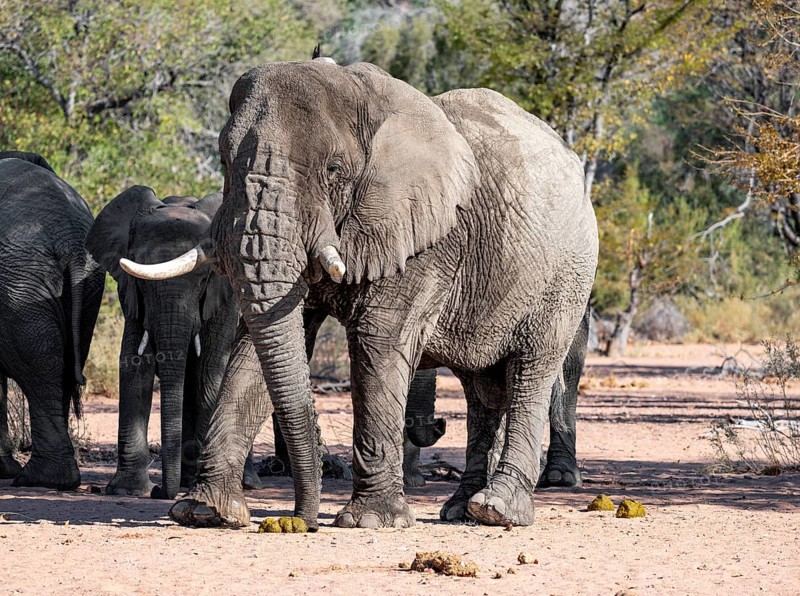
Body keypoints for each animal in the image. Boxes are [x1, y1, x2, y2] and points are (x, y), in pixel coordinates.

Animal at [0, 151, 104, 489]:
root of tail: (69, 238)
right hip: (85, 280)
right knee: (60, 366)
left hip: (21, 278)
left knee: (40, 363)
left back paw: (40, 479)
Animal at [86, 187, 261, 499]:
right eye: (142, 281)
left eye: (204, 279)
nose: (160, 491)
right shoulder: (131, 296)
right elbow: (135, 366)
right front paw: (128, 490)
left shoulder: (225, 294)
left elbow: (209, 369)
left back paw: (245, 482)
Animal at [122, 59, 598, 529]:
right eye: (223, 157)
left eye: (334, 170)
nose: (302, 520)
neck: (361, 90)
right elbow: (258, 345)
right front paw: (205, 511)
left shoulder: (425, 236)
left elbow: (379, 342)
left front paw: (371, 520)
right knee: (482, 389)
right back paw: (461, 510)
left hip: (568, 277)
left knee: (530, 372)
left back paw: (497, 511)